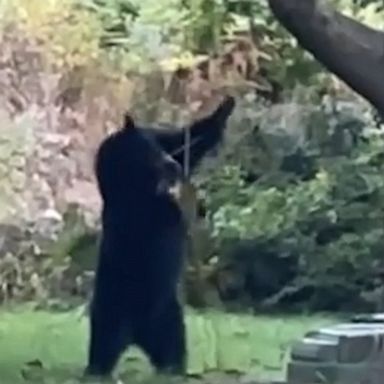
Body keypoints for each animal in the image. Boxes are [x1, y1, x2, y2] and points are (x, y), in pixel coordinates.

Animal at [84, 95, 236, 378]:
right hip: (123, 308)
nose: (169, 164)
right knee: (113, 339)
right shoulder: (138, 204)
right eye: (149, 150)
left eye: (153, 140)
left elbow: (190, 141)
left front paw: (225, 107)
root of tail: (135, 335)